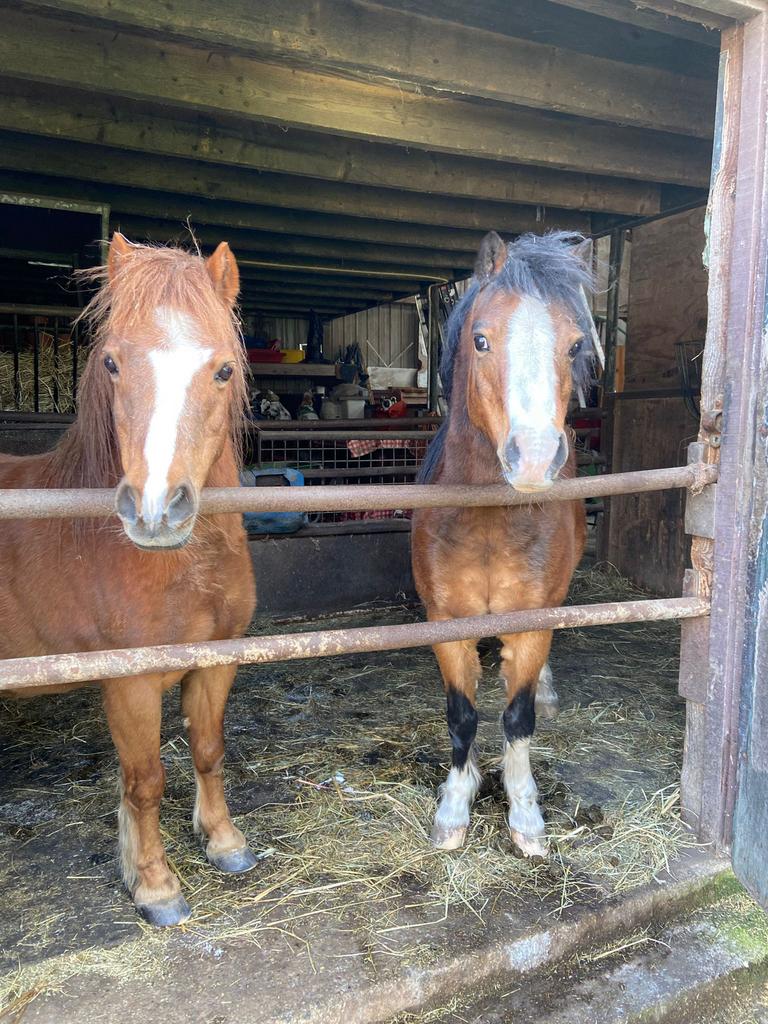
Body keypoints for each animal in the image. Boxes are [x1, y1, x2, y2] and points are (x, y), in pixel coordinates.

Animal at [0, 234, 257, 926]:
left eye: (223, 369)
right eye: (112, 364)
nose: (154, 511)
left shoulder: (218, 659)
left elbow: (208, 750)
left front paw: (223, 842)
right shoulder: (130, 682)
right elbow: (144, 782)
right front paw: (155, 885)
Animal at [412, 231, 594, 857]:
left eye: (575, 345)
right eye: (481, 339)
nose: (535, 458)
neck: (489, 521)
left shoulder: (532, 622)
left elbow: (517, 719)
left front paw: (526, 816)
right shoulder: (447, 622)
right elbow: (462, 715)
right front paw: (453, 806)